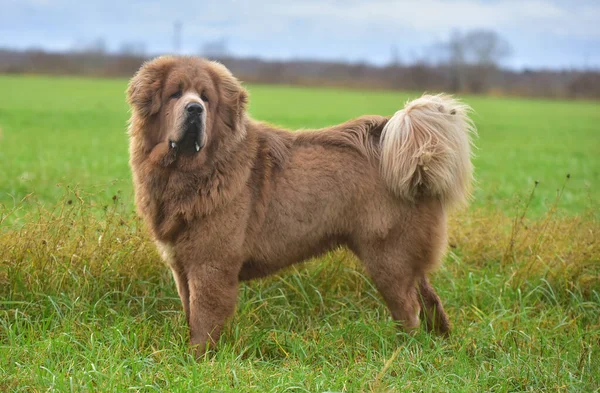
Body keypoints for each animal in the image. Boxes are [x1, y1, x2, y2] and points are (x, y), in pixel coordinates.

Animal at [125, 56, 474, 356]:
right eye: (175, 94)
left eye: (206, 98)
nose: (195, 109)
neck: (190, 172)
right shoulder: (182, 266)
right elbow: (190, 312)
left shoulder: (211, 264)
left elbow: (203, 321)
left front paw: (198, 359)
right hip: (405, 260)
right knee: (430, 302)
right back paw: (440, 343)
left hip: (389, 260)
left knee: (409, 311)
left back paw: (408, 350)